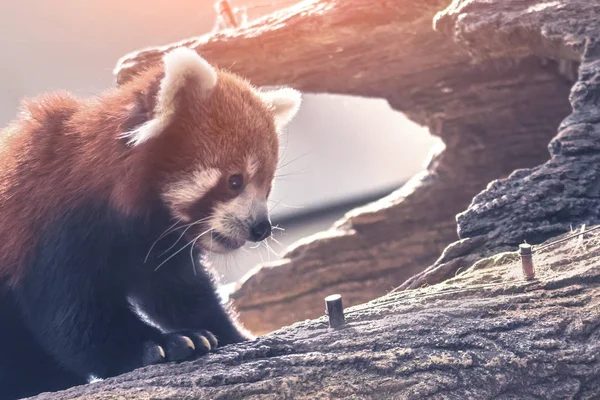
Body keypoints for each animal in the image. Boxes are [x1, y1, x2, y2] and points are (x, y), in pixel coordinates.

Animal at [0, 47, 300, 400]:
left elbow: (180, 293)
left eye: (267, 188)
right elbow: (70, 316)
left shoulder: (158, 245)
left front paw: (234, 335)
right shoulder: (53, 224)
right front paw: (163, 344)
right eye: (235, 182)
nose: (261, 228)